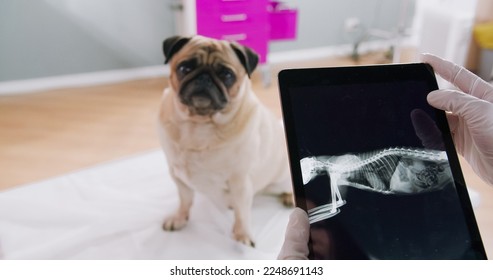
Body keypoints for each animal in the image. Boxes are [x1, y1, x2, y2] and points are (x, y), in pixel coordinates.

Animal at [158, 35, 290, 247]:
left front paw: (243, 234)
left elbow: (243, 212)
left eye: (227, 75)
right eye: (185, 68)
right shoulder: (178, 176)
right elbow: (185, 200)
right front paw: (179, 218)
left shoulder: (241, 182)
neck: (199, 125)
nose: (204, 77)